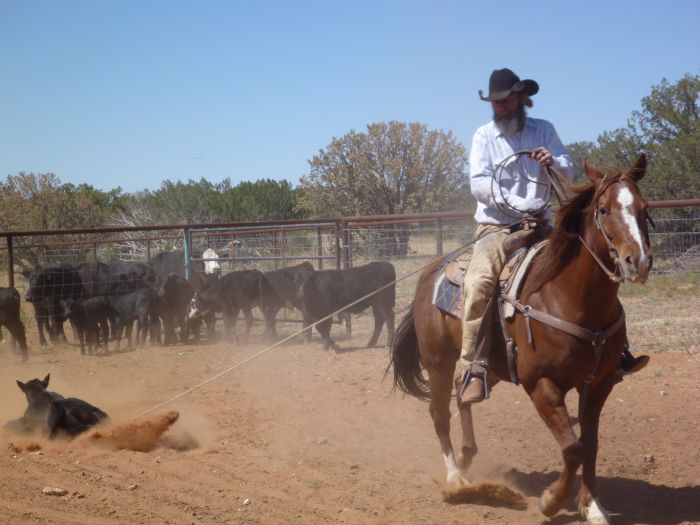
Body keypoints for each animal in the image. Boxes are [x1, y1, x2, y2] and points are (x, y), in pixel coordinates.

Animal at [392, 154, 652, 520]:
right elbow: (573, 448)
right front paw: (552, 501)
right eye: (603, 209)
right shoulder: (540, 383)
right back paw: (456, 478)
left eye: (644, 207)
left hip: (491, 366)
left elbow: (590, 445)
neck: (568, 297)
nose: (638, 261)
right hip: (437, 360)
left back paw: (468, 452)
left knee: (464, 392)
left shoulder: (598, 384)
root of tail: (431, 272)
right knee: (439, 413)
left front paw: (592, 507)